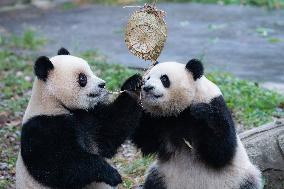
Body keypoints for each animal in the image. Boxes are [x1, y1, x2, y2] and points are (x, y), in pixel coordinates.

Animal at [15, 48, 142, 189]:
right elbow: (59, 165)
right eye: (83, 78)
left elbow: (111, 129)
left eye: (91, 70)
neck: (56, 103)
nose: (102, 84)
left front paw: (134, 84)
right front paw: (111, 174)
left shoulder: (89, 116)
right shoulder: (42, 127)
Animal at [131, 59, 262, 189]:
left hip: (238, 179)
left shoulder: (215, 103)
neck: (180, 111)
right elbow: (147, 140)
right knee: (153, 181)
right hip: (164, 177)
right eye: (147, 78)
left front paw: (201, 111)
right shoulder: (162, 120)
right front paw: (132, 84)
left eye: (164, 79)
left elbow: (221, 151)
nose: (148, 87)